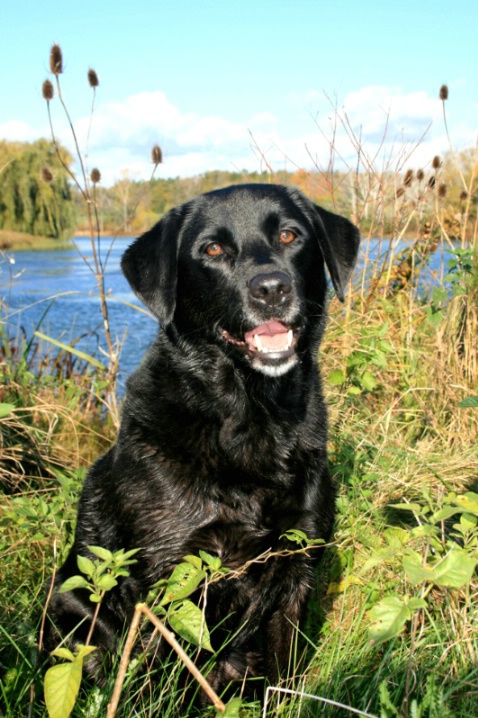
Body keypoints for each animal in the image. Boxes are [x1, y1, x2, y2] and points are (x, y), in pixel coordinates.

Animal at [44, 184, 358, 696]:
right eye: (212, 250)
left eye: (289, 235)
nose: (271, 288)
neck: (250, 415)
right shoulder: (166, 581)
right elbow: (153, 682)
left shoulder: (297, 565)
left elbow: (283, 676)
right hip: (70, 612)